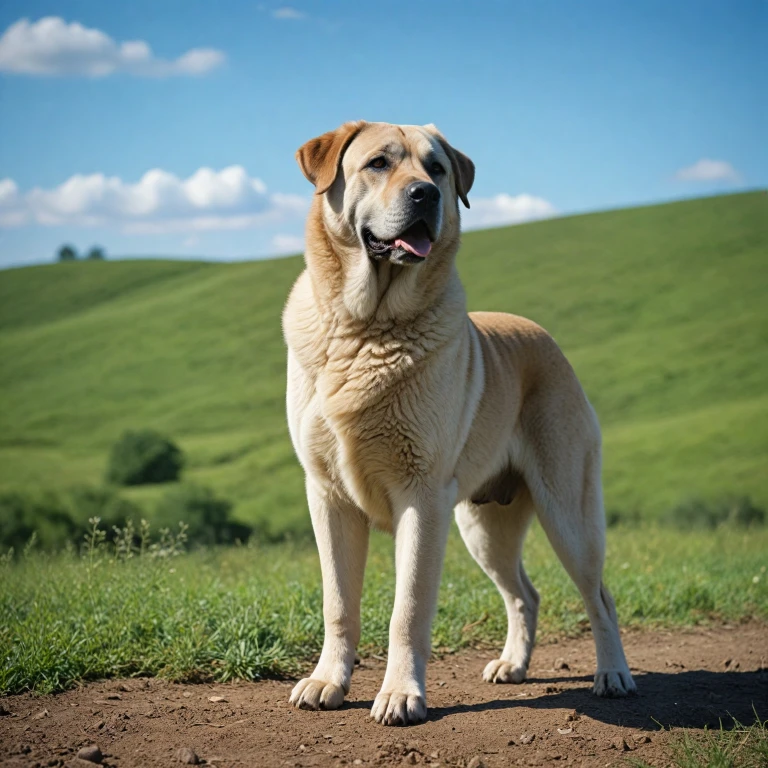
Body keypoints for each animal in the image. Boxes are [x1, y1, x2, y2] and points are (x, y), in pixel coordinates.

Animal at [284, 120, 636, 728]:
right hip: (483, 525)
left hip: (568, 512)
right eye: (378, 163)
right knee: (524, 594)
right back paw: (512, 665)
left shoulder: (421, 498)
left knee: (600, 597)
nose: (425, 195)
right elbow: (338, 603)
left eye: (437, 169)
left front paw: (400, 695)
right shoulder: (326, 496)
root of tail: (544, 336)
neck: (365, 325)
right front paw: (328, 681)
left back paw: (613, 674)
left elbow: (408, 609)